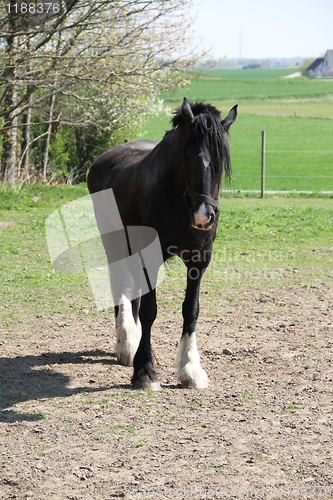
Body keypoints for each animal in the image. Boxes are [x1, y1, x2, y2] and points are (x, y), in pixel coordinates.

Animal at [86, 95, 236, 388]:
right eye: (188, 156)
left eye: (221, 160)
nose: (203, 216)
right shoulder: (150, 256)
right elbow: (150, 311)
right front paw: (145, 371)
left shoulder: (198, 259)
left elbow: (191, 310)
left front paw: (190, 369)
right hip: (114, 242)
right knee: (120, 286)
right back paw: (126, 344)